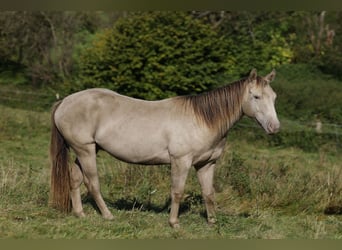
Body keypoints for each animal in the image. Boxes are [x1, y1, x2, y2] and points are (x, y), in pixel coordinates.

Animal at [49, 68, 280, 229]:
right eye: (256, 97)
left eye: (274, 97)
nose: (274, 127)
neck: (201, 120)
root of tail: (64, 102)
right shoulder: (181, 161)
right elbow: (177, 191)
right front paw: (174, 223)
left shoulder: (207, 164)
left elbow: (209, 193)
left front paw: (213, 222)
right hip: (85, 150)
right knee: (92, 183)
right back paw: (107, 215)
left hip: (86, 150)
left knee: (75, 179)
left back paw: (80, 213)